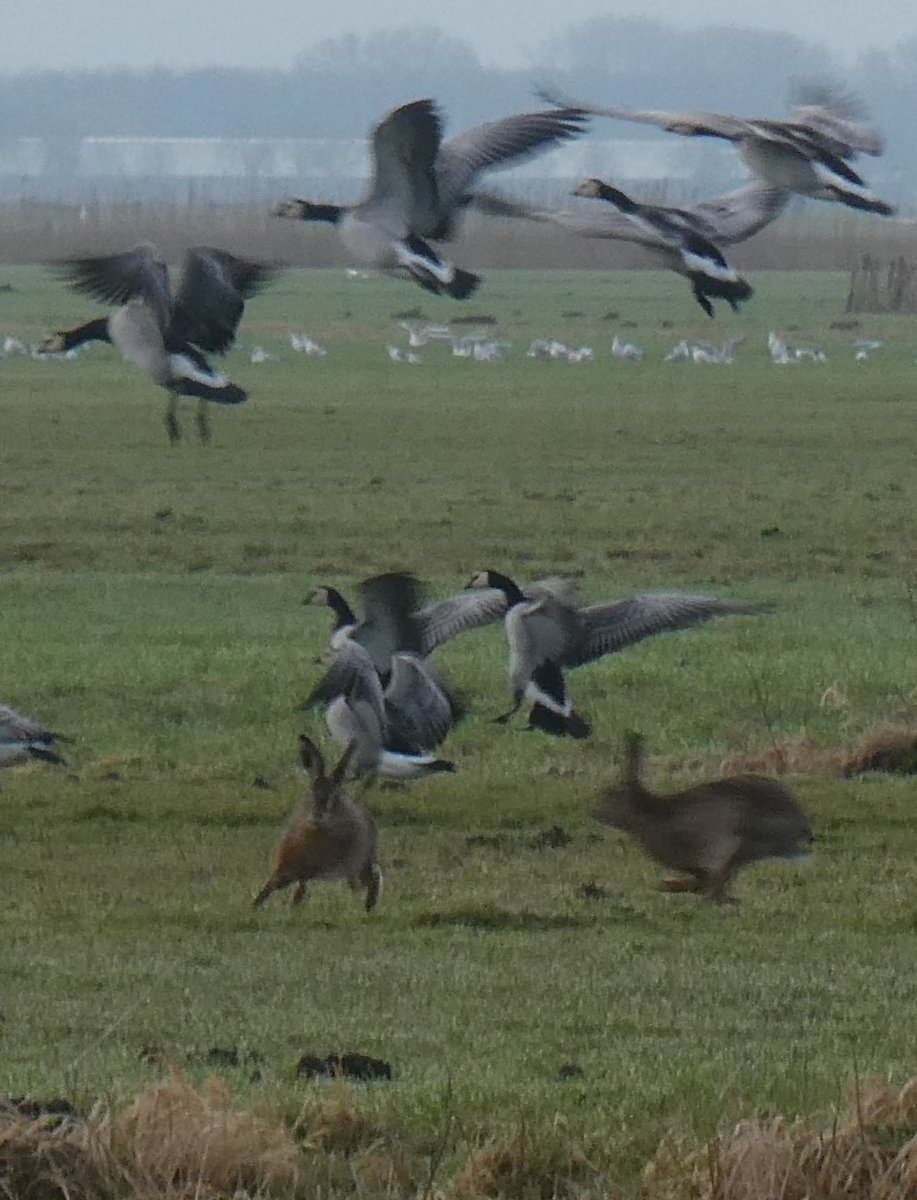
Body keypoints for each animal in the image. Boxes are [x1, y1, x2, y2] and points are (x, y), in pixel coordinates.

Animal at [253, 735, 382, 912]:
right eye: (312, 793)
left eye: (335, 796)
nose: (318, 814)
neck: (317, 830)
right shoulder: (287, 866)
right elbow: (275, 884)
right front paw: (255, 905)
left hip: (359, 864)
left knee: (371, 877)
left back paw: (369, 903)